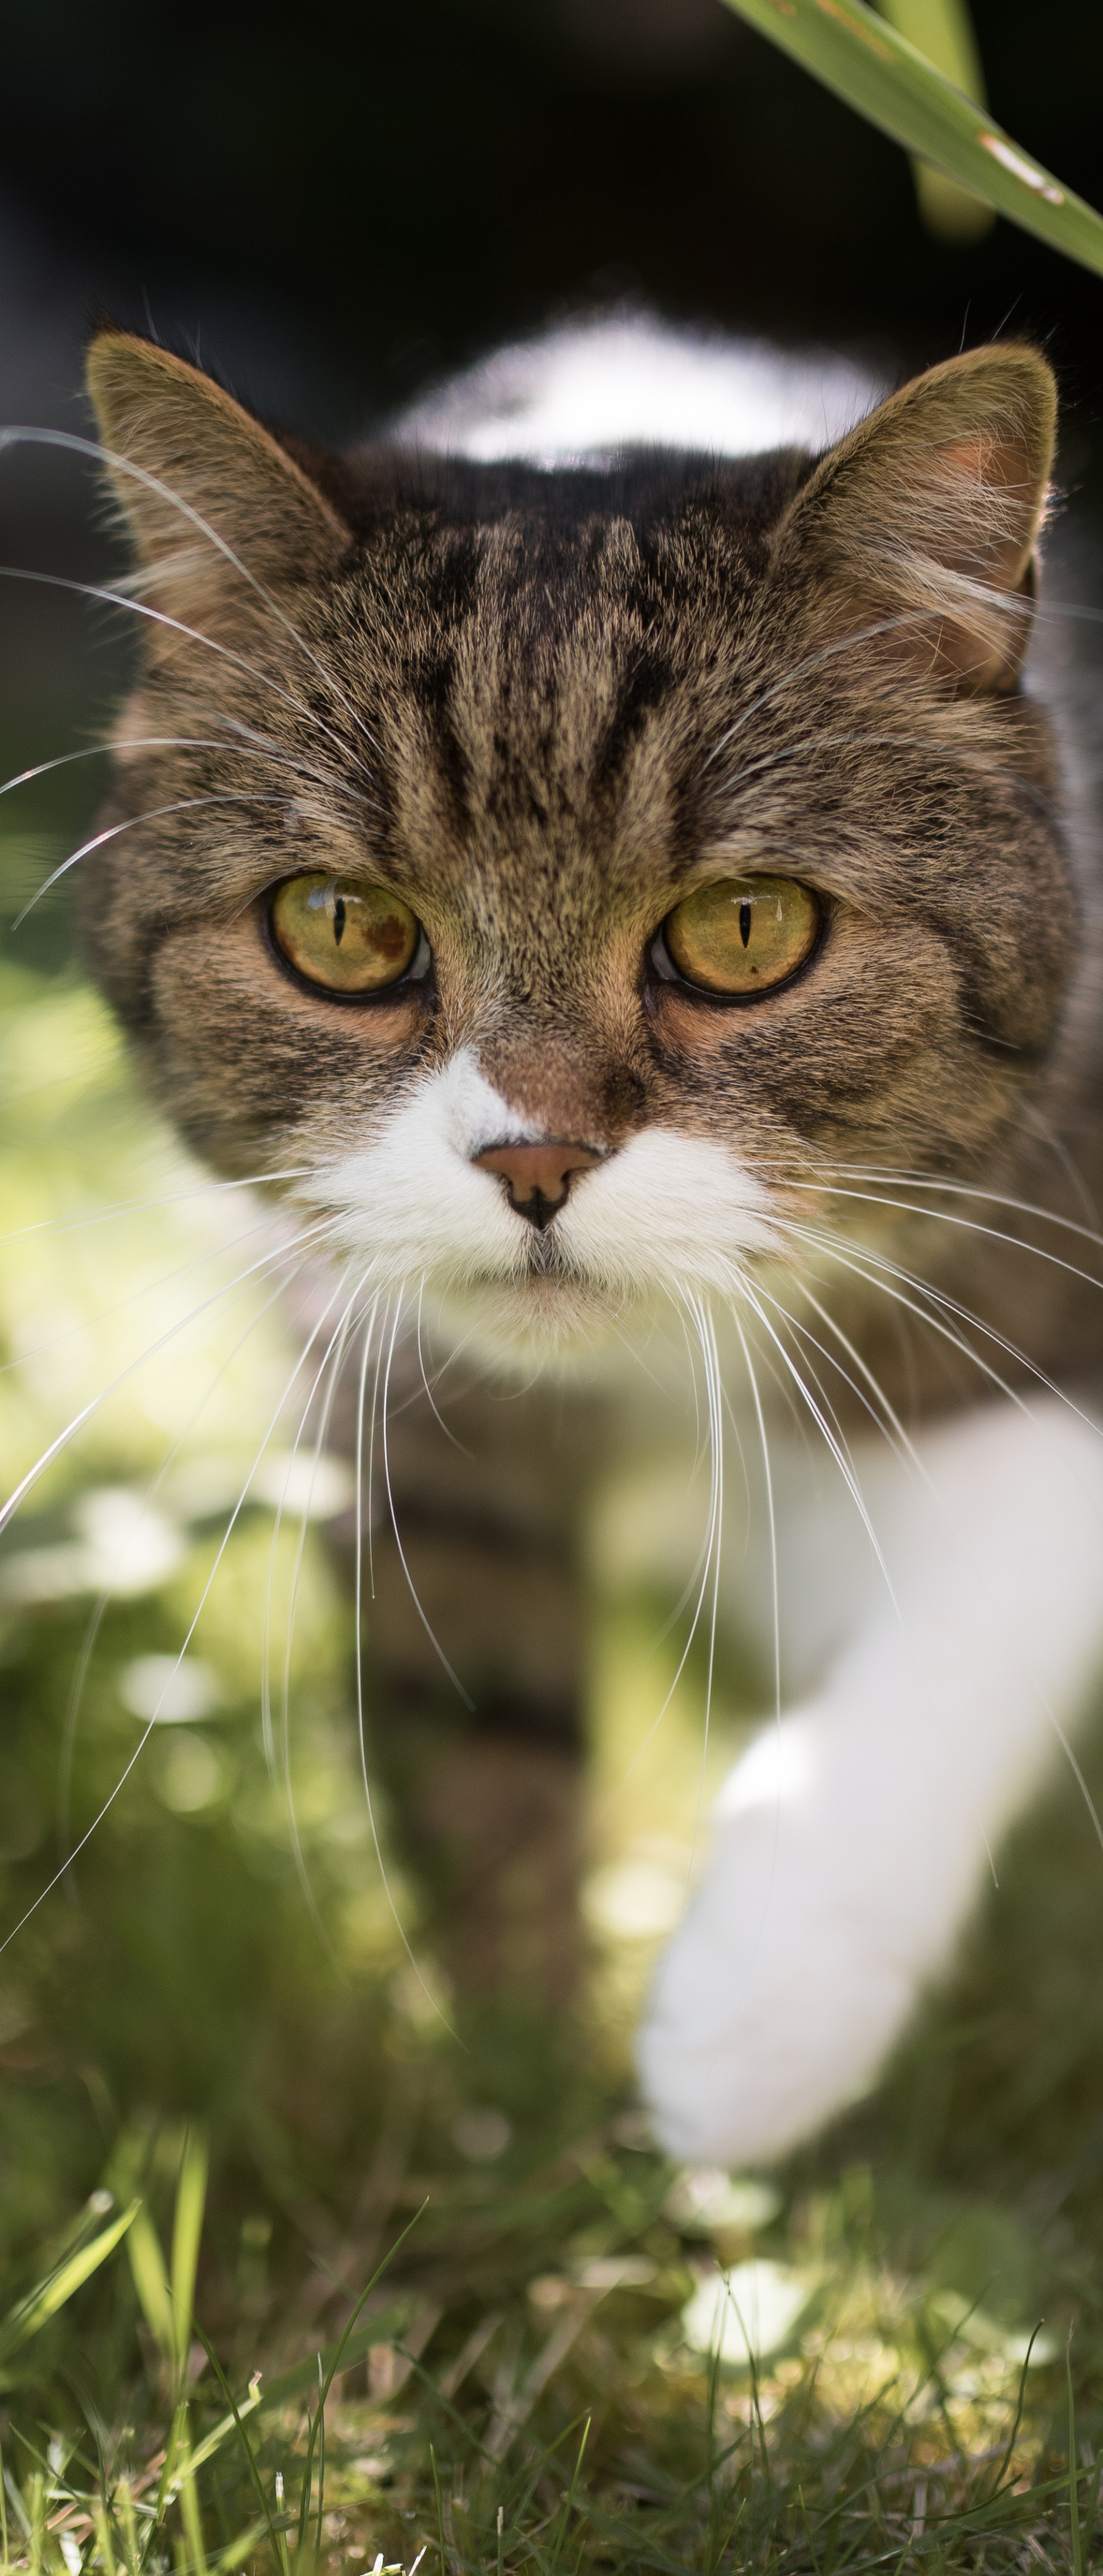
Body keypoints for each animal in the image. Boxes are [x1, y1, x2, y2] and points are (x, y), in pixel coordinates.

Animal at [56, 306, 1103, 2174]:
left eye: (746, 929)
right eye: (341, 927)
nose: (532, 1158)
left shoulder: (1022, 1271)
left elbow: (998, 1575)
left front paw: (758, 2013)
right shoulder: (396, 1382)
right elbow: (487, 1730)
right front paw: (527, 2100)